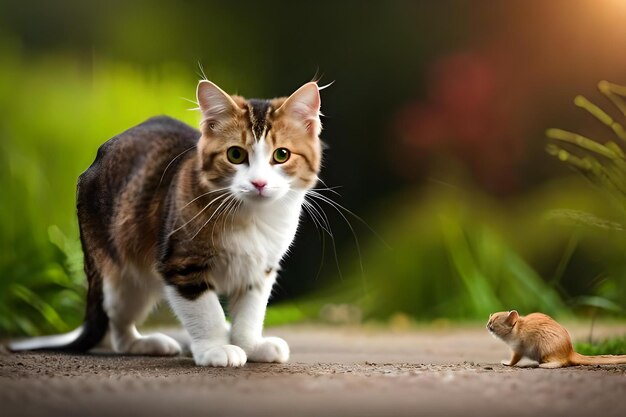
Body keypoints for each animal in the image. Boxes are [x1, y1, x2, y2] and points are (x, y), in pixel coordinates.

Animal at [9, 79, 322, 366]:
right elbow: (206, 310)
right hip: (120, 271)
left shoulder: (260, 270)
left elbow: (251, 311)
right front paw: (215, 348)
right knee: (118, 326)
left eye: (281, 155)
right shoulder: (180, 263)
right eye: (235, 154)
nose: (259, 183)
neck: (251, 216)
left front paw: (250, 344)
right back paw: (144, 343)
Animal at [486, 308, 624, 368]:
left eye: (495, 320)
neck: (517, 328)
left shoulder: (518, 349)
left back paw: (544, 365)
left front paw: (505, 363)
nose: (487, 324)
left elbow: (513, 360)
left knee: (562, 362)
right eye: (490, 318)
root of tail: (570, 352)